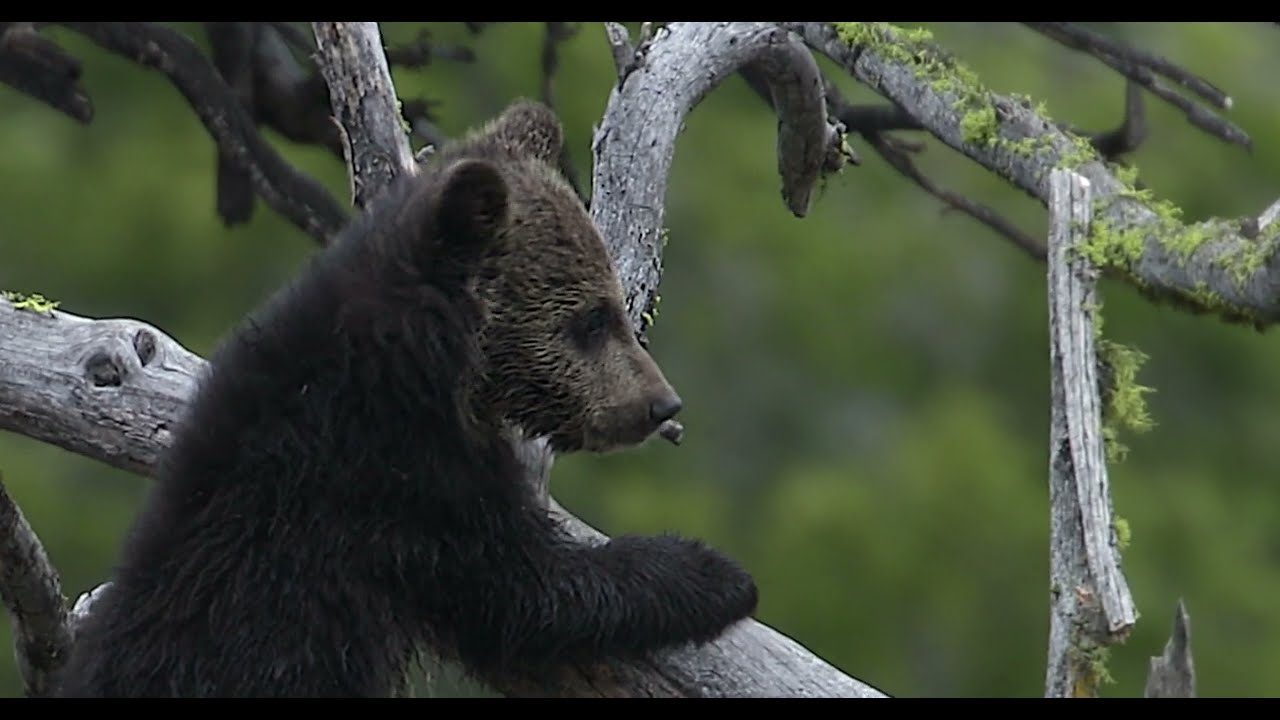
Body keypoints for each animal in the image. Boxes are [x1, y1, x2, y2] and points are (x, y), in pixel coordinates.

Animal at [54, 99, 758, 698]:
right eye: (591, 319)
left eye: (610, 305)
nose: (661, 405)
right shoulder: (401, 486)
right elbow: (530, 591)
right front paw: (713, 573)